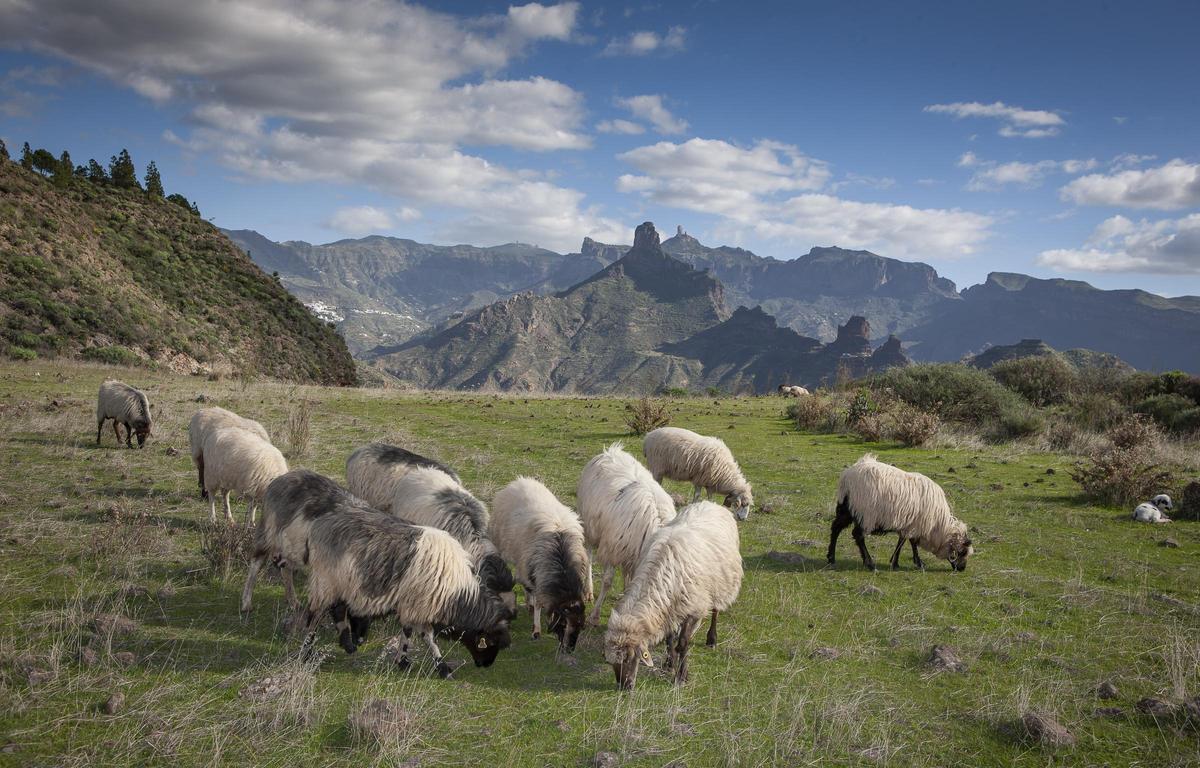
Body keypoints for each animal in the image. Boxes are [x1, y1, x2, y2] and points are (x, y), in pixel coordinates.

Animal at [299, 505, 513, 678]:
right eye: (490, 642)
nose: (485, 665)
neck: (456, 593)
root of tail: (318, 525)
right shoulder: (418, 604)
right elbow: (426, 636)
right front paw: (442, 668)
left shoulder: (413, 604)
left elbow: (408, 631)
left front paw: (403, 660)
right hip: (325, 580)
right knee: (314, 615)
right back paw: (306, 652)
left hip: (343, 583)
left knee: (338, 608)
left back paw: (348, 644)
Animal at [491, 477, 592, 651]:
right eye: (564, 624)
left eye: (581, 625)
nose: (569, 650)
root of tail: (520, 480)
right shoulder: (537, 572)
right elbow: (537, 601)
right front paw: (536, 630)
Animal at [577, 443, 677, 626]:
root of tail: (610, 451)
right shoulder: (612, 549)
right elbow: (607, 581)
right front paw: (594, 615)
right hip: (590, 527)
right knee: (589, 554)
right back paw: (588, 590)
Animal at [604, 500, 743, 690]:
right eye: (610, 662)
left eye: (629, 657)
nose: (624, 686)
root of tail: (712, 503)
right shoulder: (670, 609)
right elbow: (669, 639)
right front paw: (670, 662)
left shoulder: (693, 608)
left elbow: (683, 643)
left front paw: (681, 676)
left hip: (720, 584)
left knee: (715, 610)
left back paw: (712, 639)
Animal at [828, 453, 973, 572]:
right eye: (962, 552)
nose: (962, 569)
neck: (937, 526)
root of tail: (847, 477)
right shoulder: (915, 525)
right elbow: (911, 543)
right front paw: (917, 563)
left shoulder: (908, 524)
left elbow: (903, 541)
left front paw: (896, 562)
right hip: (866, 513)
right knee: (858, 535)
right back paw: (870, 564)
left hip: (846, 509)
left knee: (836, 528)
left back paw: (831, 558)